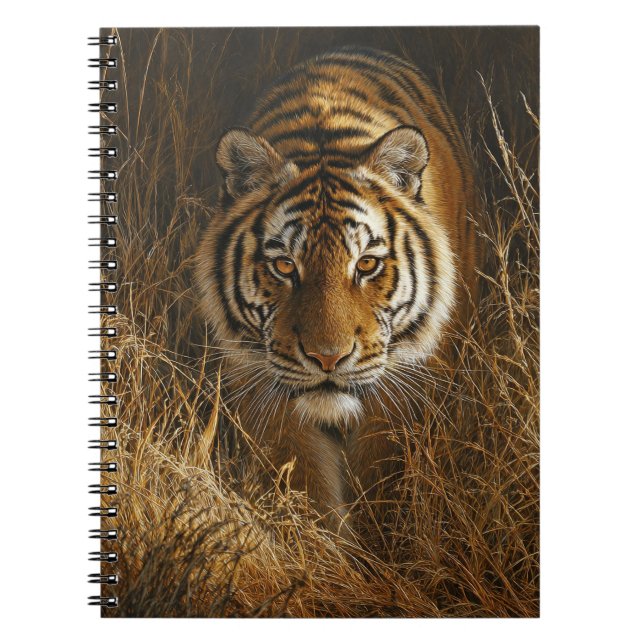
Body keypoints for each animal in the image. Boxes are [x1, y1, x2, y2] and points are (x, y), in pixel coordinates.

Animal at [195, 46, 478, 534]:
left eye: (365, 263)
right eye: (285, 265)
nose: (328, 358)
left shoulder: (403, 389)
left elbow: (382, 481)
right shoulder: (266, 392)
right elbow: (303, 488)